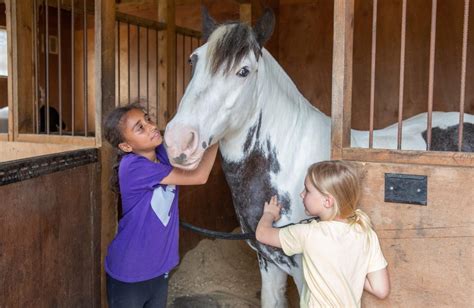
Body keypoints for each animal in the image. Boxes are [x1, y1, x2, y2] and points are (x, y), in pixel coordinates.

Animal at [164, 8, 474, 306]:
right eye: (193, 60)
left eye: (243, 71)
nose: (179, 139)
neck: (288, 164)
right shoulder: (268, 262)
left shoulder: (304, 272)